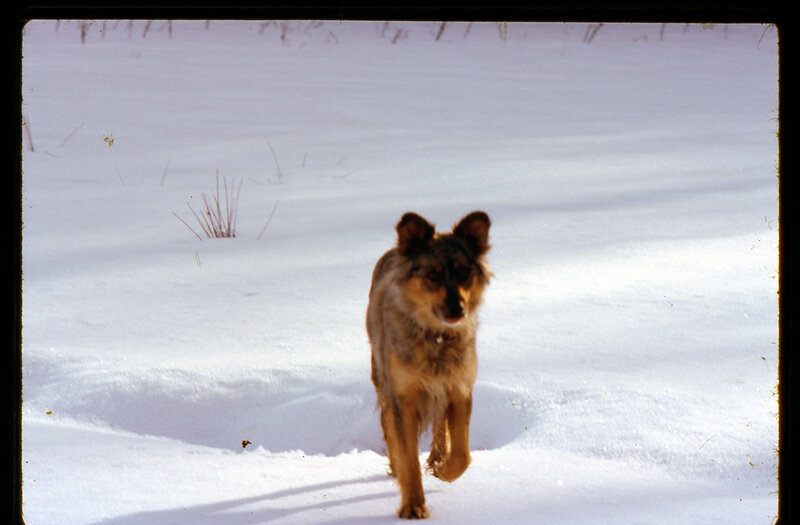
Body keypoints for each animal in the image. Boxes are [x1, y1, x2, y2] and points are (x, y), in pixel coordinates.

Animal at [368, 211, 490, 516]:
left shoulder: (459, 388)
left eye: (464, 272)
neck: (437, 338)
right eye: (432, 274)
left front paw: (444, 470)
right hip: (382, 377)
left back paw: (437, 457)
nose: (457, 308)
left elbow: (463, 453)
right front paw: (413, 506)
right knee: (388, 424)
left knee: (439, 424)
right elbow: (407, 455)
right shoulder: (402, 395)